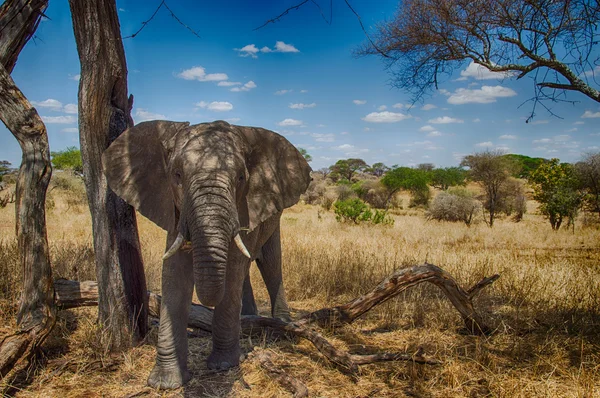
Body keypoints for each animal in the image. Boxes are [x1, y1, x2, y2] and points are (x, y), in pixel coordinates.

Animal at [101, 119, 312, 388]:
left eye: (241, 177)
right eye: (177, 175)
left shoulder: (246, 206)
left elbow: (232, 270)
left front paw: (224, 365)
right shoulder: (174, 209)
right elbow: (174, 274)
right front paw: (165, 382)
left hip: (274, 216)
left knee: (270, 263)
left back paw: (282, 324)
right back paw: (248, 318)